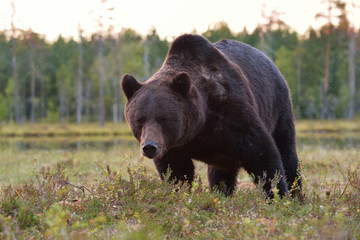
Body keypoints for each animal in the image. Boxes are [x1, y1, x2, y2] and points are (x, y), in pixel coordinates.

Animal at [122, 33, 302, 198]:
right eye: (139, 120)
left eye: (163, 119)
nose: (150, 147)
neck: (201, 123)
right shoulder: (174, 145)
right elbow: (175, 171)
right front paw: (178, 191)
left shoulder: (231, 112)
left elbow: (263, 155)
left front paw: (278, 196)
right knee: (220, 173)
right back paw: (222, 194)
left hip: (279, 107)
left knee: (287, 151)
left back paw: (297, 194)